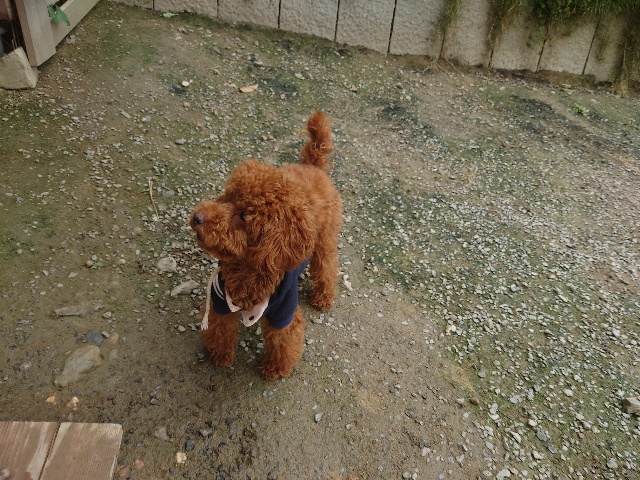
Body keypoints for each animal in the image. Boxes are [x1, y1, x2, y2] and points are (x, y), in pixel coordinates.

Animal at [190, 111, 342, 380]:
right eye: (225, 197)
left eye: (244, 216)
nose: (197, 218)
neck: (248, 270)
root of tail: (312, 167)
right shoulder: (220, 299)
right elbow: (220, 329)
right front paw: (220, 355)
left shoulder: (283, 311)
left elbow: (283, 340)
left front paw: (273, 369)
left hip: (325, 239)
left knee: (326, 267)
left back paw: (323, 298)